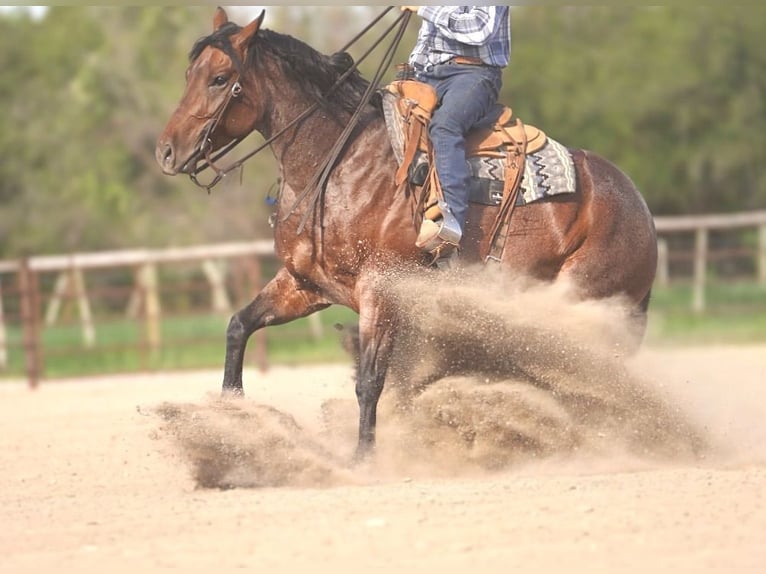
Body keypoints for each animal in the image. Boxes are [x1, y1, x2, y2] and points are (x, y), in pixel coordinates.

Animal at [156, 8, 658, 459]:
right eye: (189, 73)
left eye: (220, 78)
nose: (166, 152)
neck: (339, 162)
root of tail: (638, 204)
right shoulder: (306, 284)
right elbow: (238, 326)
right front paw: (231, 420)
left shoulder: (383, 290)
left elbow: (370, 380)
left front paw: (363, 458)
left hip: (584, 303)